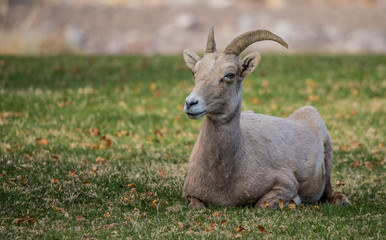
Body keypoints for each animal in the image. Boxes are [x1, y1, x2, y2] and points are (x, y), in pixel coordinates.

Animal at [181, 26, 350, 208]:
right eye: (194, 72)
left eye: (230, 75)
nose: (191, 103)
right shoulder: (189, 195)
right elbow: (197, 206)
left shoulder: (286, 183)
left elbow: (262, 205)